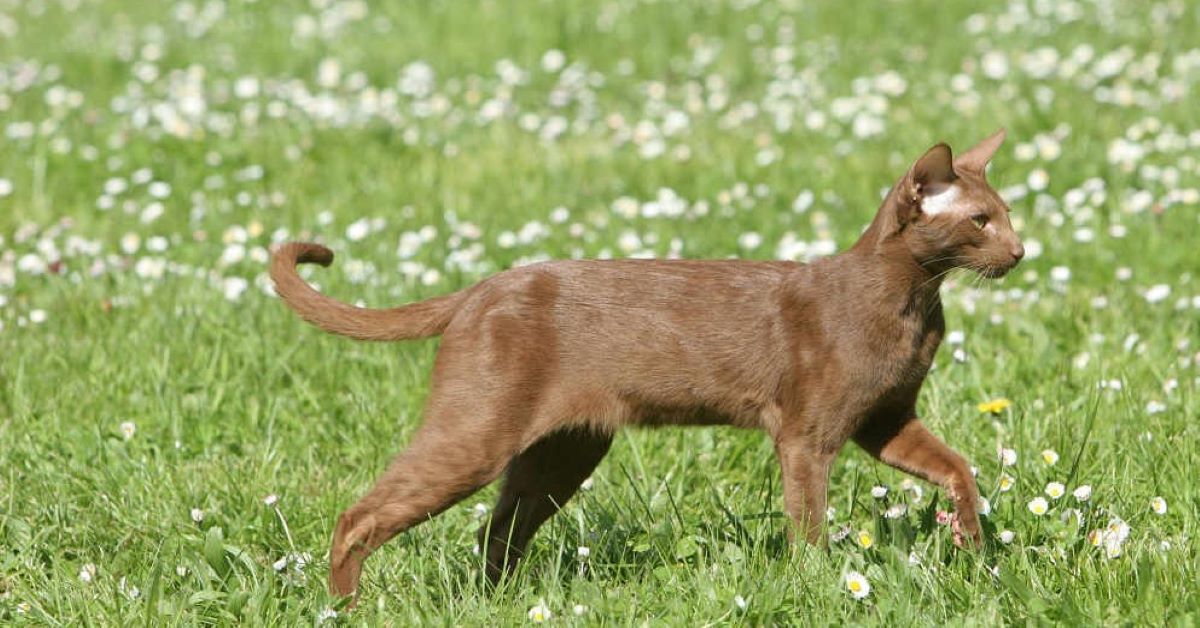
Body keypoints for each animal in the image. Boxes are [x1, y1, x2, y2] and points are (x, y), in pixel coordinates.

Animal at [270, 127, 1022, 600]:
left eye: (1007, 215)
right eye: (981, 222)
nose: (1020, 252)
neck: (912, 306)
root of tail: (480, 288)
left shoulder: (885, 420)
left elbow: (959, 469)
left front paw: (971, 545)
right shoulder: (807, 436)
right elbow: (808, 530)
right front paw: (821, 588)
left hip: (564, 450)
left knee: (495, 533)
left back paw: (492, 605)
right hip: (479, 433)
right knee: (360, 518)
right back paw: (345, 608)